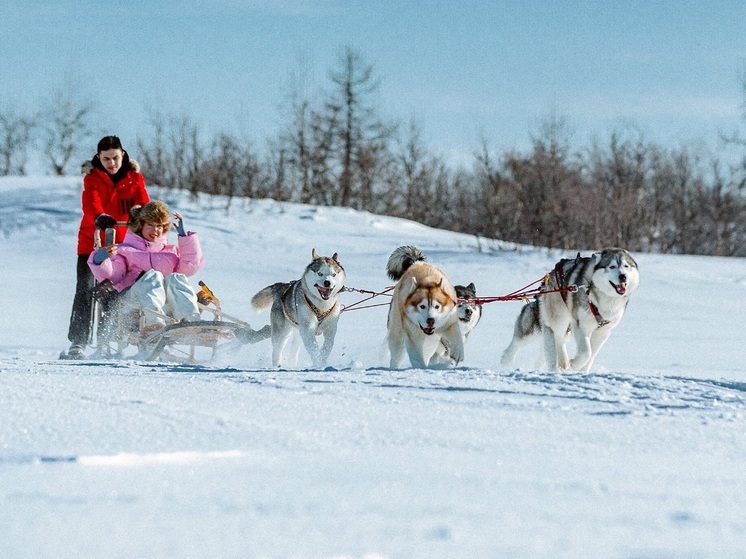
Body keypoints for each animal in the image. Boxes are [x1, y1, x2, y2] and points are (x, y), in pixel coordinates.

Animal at [496, 248, 636, 372]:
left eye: (626, 266)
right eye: (612, 266)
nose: (623, 276)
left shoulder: (604, 331)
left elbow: (591, 354)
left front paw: (581, 371)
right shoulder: (581, 325)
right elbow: (586, 353)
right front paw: (573, 365)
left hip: (564, 328)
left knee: (551, 346)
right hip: (547, 323)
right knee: (523, 342)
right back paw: (508, 362)